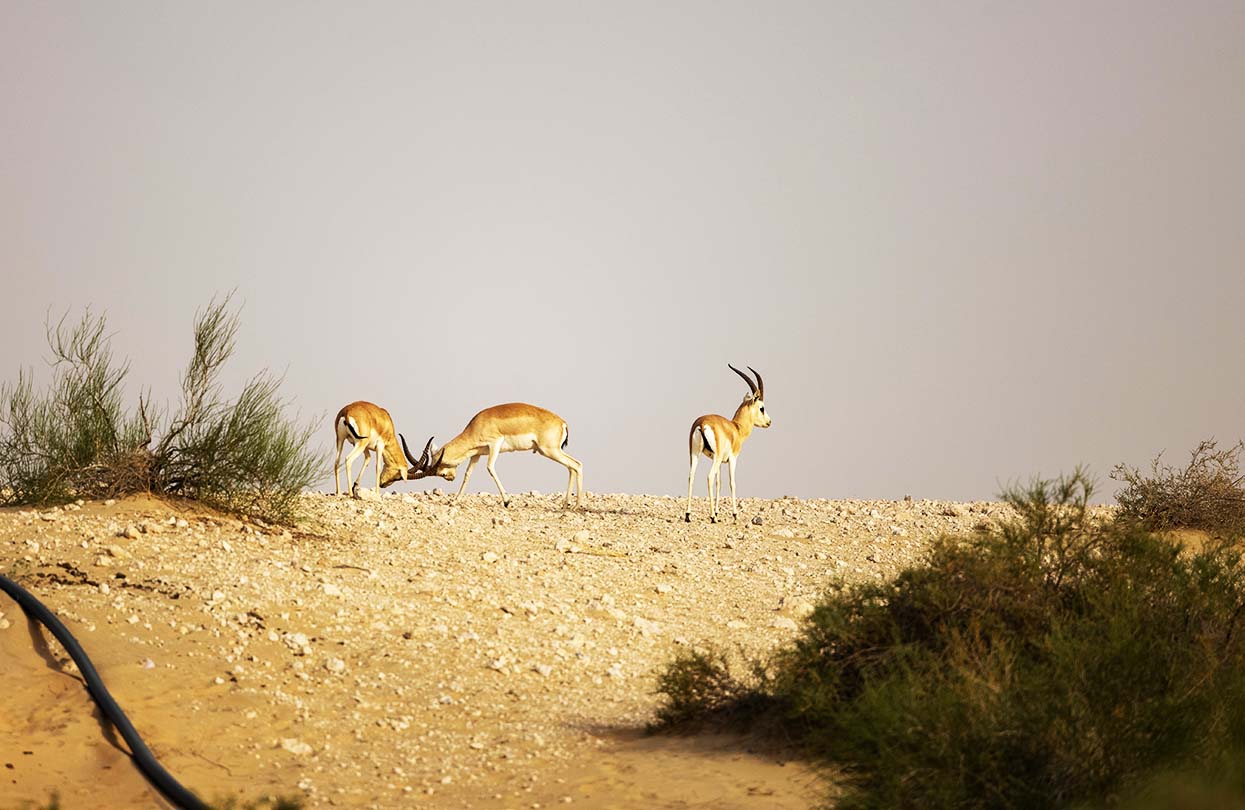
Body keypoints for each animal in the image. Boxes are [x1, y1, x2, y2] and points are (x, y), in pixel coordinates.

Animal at [406, 403, 584, 508]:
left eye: (440, 473)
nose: (450, 478)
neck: (477, 425)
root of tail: (562, 422)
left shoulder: (494, 445)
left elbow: (490, 468)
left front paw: (507, 501)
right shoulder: (477, 453)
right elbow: (468, 474)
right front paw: (455, 500)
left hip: (549, 450)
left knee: (576, 465)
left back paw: (576, 506)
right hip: (551, 451)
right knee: (571, 467)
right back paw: (566, 505)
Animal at [685, 365, 771, 523]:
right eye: (762, 408)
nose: (769, 422)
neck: (736, 428)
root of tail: (702, 424)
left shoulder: (719, 461)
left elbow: (719, 483)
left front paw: (718, 512)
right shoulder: (732, 459)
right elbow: (732, 483)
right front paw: (734, 514)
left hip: (695, 454)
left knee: (691, 476)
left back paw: (688, 515)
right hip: (715, 458)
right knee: (709, 477)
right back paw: (712, 517)